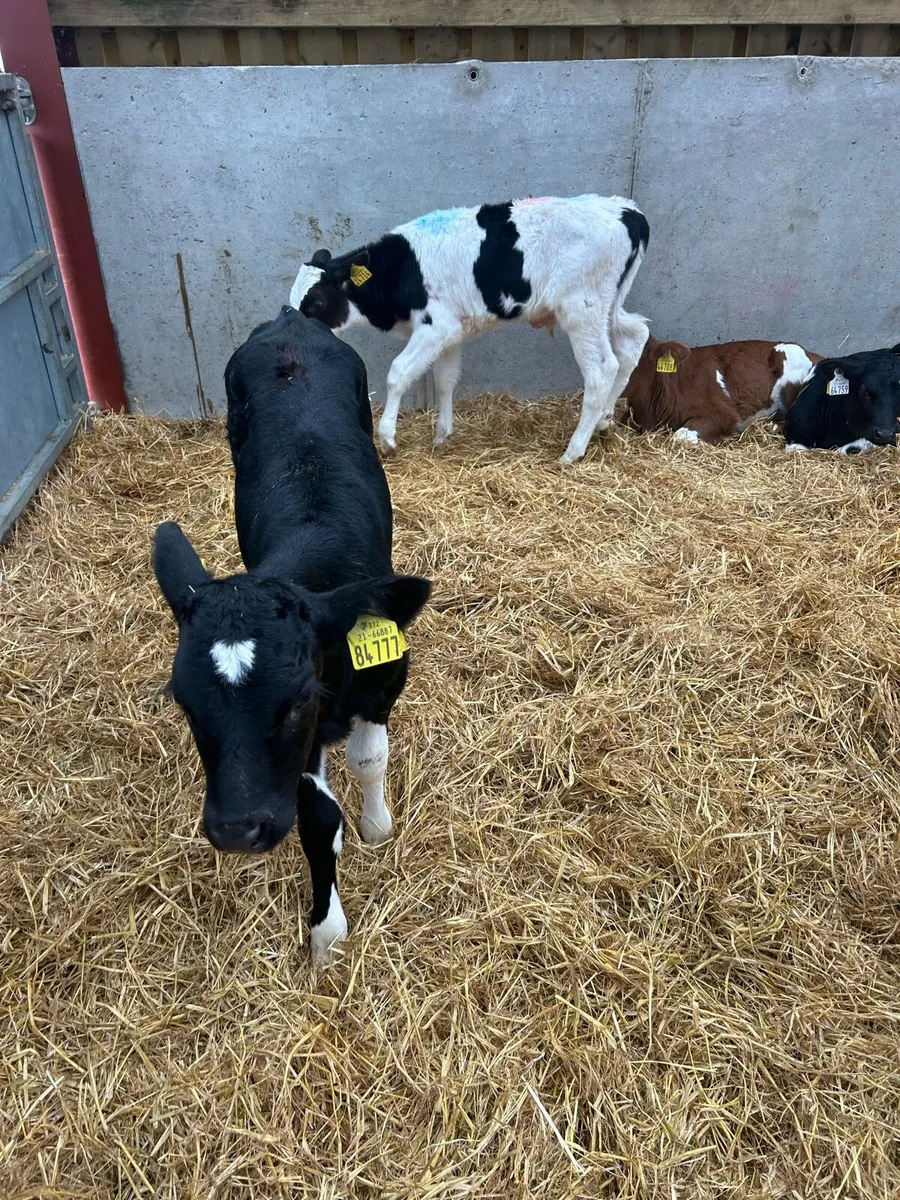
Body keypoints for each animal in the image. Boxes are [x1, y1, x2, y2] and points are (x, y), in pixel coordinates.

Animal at [152, 307, 431, 964]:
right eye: (185, 703)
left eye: (299, 696)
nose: (236, 829)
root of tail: (289, 320)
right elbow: (317, 817)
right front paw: (326, 931)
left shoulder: (383, 681)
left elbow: (368, 760)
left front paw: (376, 827)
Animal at [288, 195, 650, 464]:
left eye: (316, 302)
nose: (297, 335)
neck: (402, 270)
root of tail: (627, 210)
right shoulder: (451, 331)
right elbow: (445, 380)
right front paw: (441, 436)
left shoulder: (435, 326)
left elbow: (398, 372)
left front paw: (388, 437)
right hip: (609, 307)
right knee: (633, 341)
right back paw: (604, 421)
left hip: (581, 309)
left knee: (602, 368)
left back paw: (573, 451)